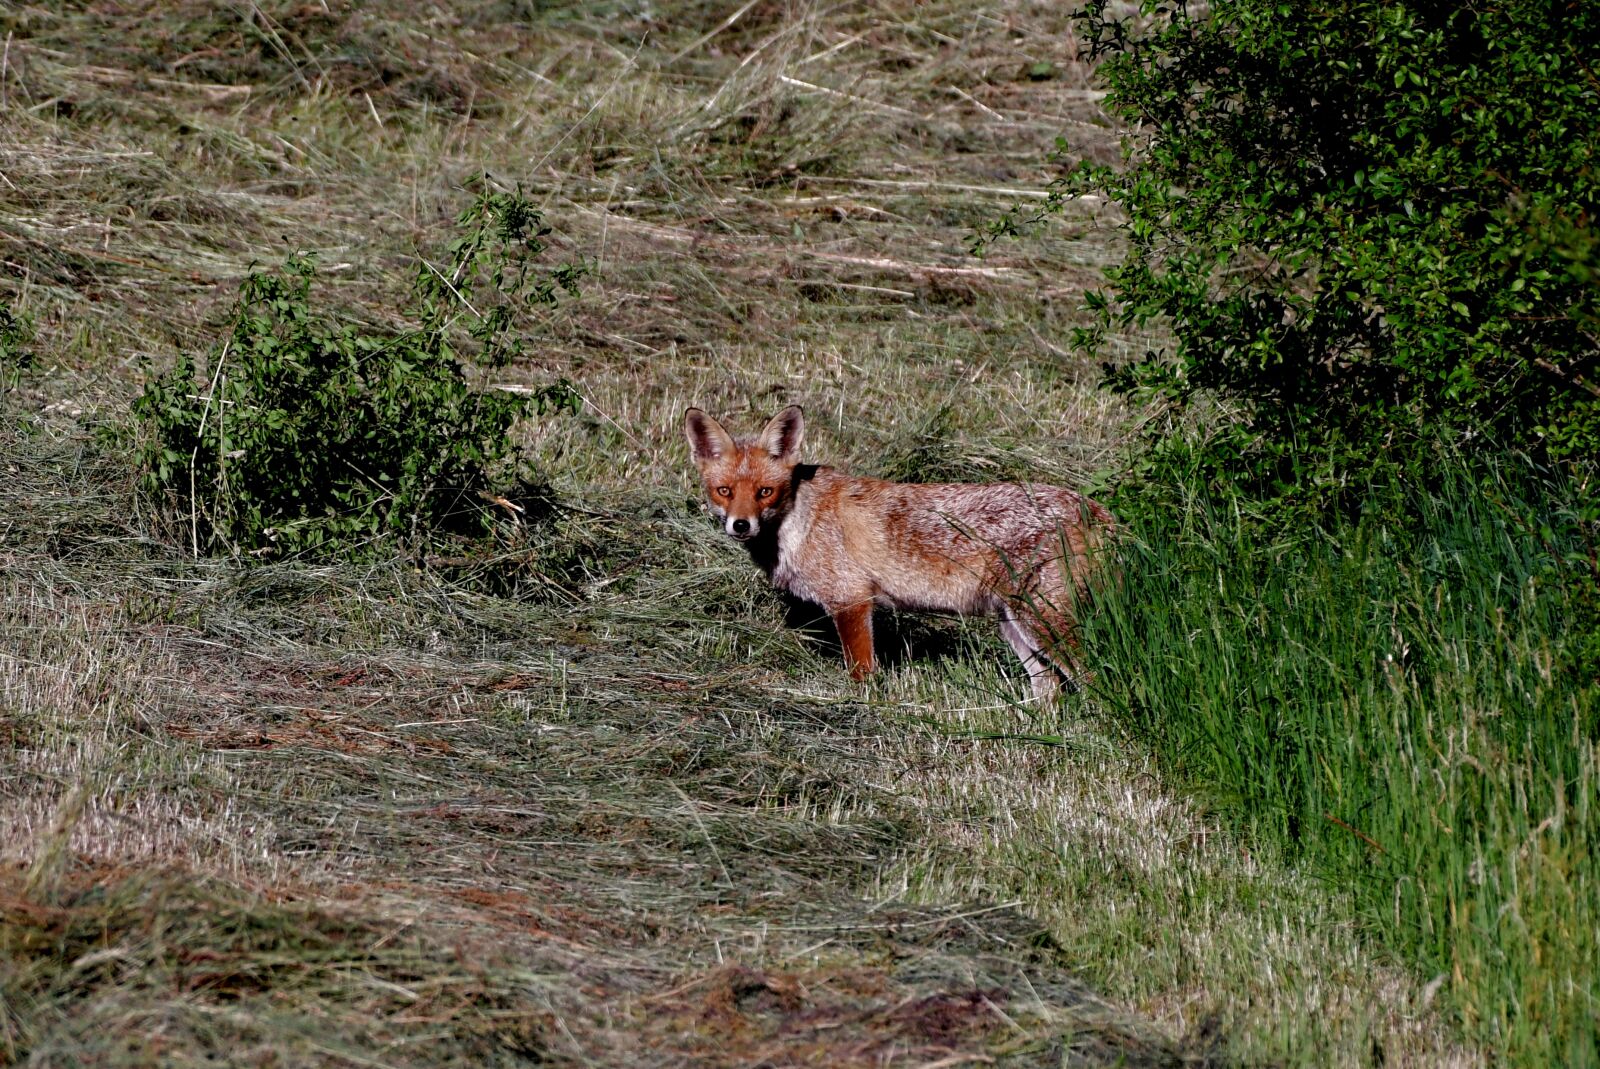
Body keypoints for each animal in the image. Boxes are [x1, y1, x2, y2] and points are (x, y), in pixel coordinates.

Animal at [684, 405, 1115, 701]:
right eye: (724, 491)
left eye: (764, 492)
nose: (741, 525)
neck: (797, 521)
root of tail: (1096, 509)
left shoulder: (852, 600)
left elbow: (861, 672)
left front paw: (862, 705)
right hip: (1015, 627)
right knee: (1050, 689)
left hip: (1043, 623)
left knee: (1099, 678)